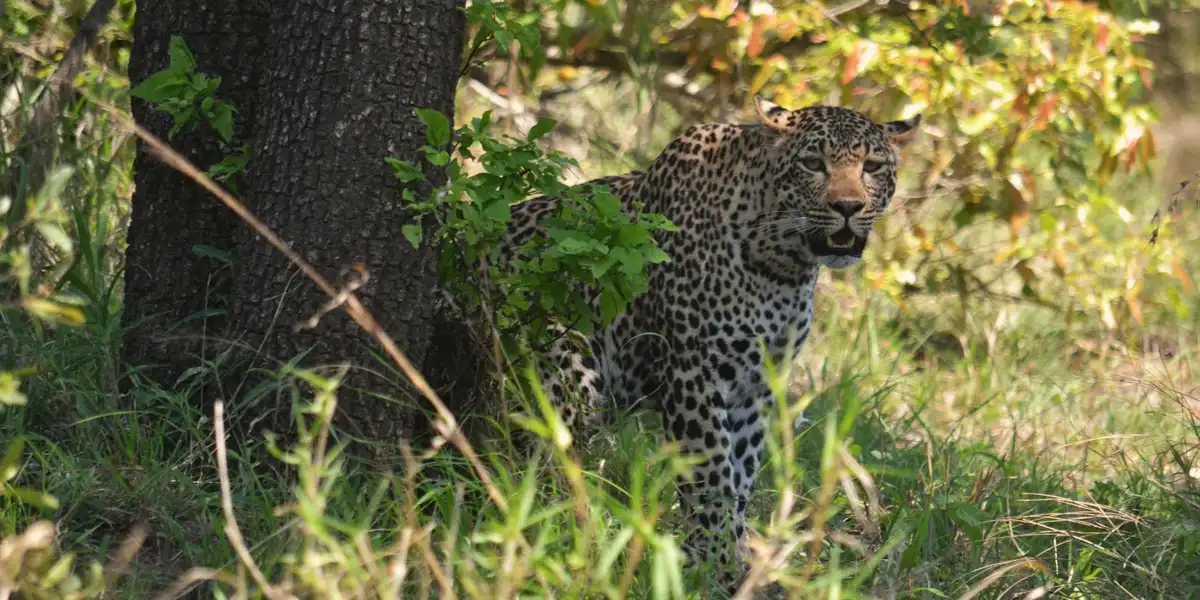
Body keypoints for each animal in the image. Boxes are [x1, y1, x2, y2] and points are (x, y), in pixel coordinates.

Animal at [497, 96, 921, 594]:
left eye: (871, 166)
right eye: (813, 164)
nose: (849, 206)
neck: (781, 264)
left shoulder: (755, 386)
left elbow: (740, 477)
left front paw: (727, 560)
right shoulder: (695, 373)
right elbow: (712, 476)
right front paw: (719, 566)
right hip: (565, 374)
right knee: (543, 462)